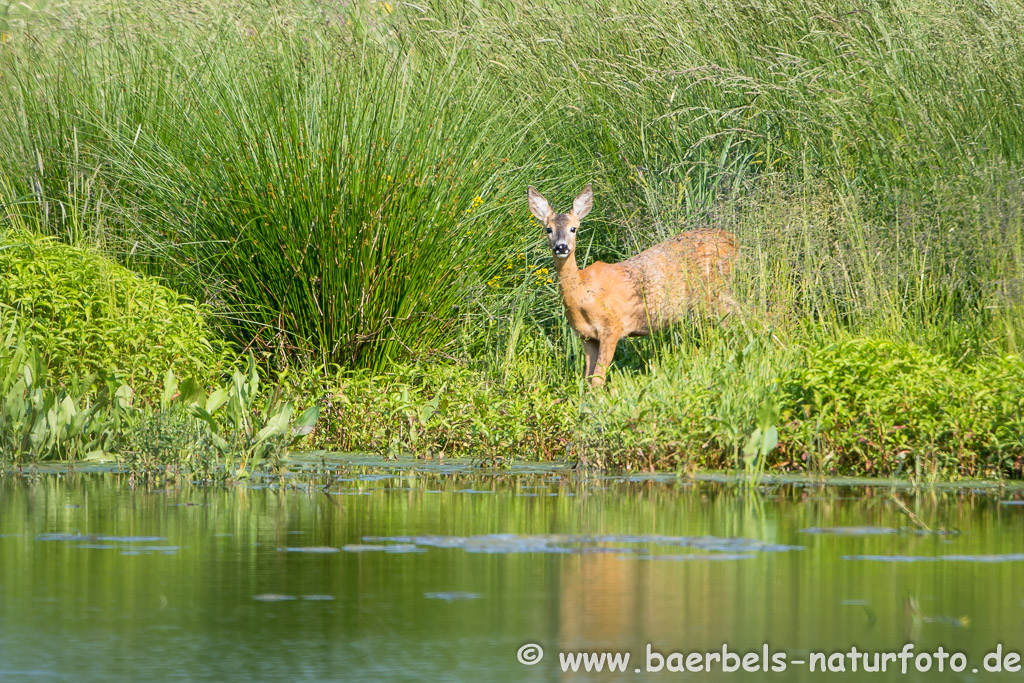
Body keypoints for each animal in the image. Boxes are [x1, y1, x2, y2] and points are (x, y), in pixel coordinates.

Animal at [528, 184, 737, 387]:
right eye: (548, 229)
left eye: (574, 228)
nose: (561, 247)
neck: (582, 294)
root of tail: (732, 239)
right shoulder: (587, 337)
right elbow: (588, 378)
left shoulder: (612, 328)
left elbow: (597, 379)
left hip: (714, 290)